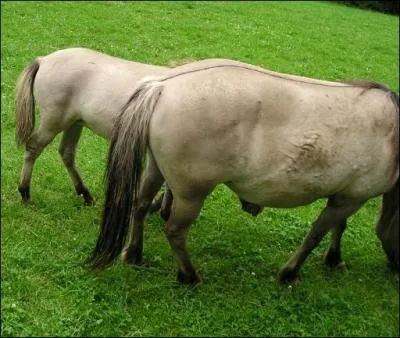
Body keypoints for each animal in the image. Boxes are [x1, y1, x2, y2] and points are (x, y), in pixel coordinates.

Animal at [86, 59, 396, 284]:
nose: (395, 269)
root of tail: (163, 86)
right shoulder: (351, 198)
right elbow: (316, 234)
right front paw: (291, 272)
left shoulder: (345, 196)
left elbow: (337, 227)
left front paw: (333, 259)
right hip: (191, 193)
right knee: (175, 231)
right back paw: (189, 276)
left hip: (156, 170)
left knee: (139, 206)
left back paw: (134, 254)